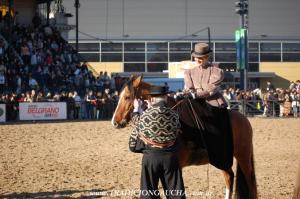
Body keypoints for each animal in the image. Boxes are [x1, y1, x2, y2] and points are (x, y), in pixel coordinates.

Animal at [111, 75, 256, 198]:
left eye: (127, 97)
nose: (115, 122)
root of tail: (245, 120)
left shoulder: (176, 166)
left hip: (242, 156)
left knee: (249, 180)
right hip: (222, 158)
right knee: (229, 177)